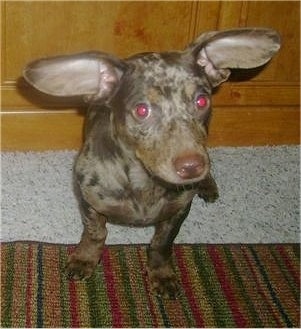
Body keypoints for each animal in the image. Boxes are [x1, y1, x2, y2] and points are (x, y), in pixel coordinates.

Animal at [22, 27, 278, 298]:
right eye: (142, 110)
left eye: (202, 101)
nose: (192, 166)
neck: (144, 180)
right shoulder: (89, 200)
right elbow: (95, 233)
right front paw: (84, 259)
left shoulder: (178, 210)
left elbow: (161, 244)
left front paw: (161, 273)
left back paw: (207, 184)